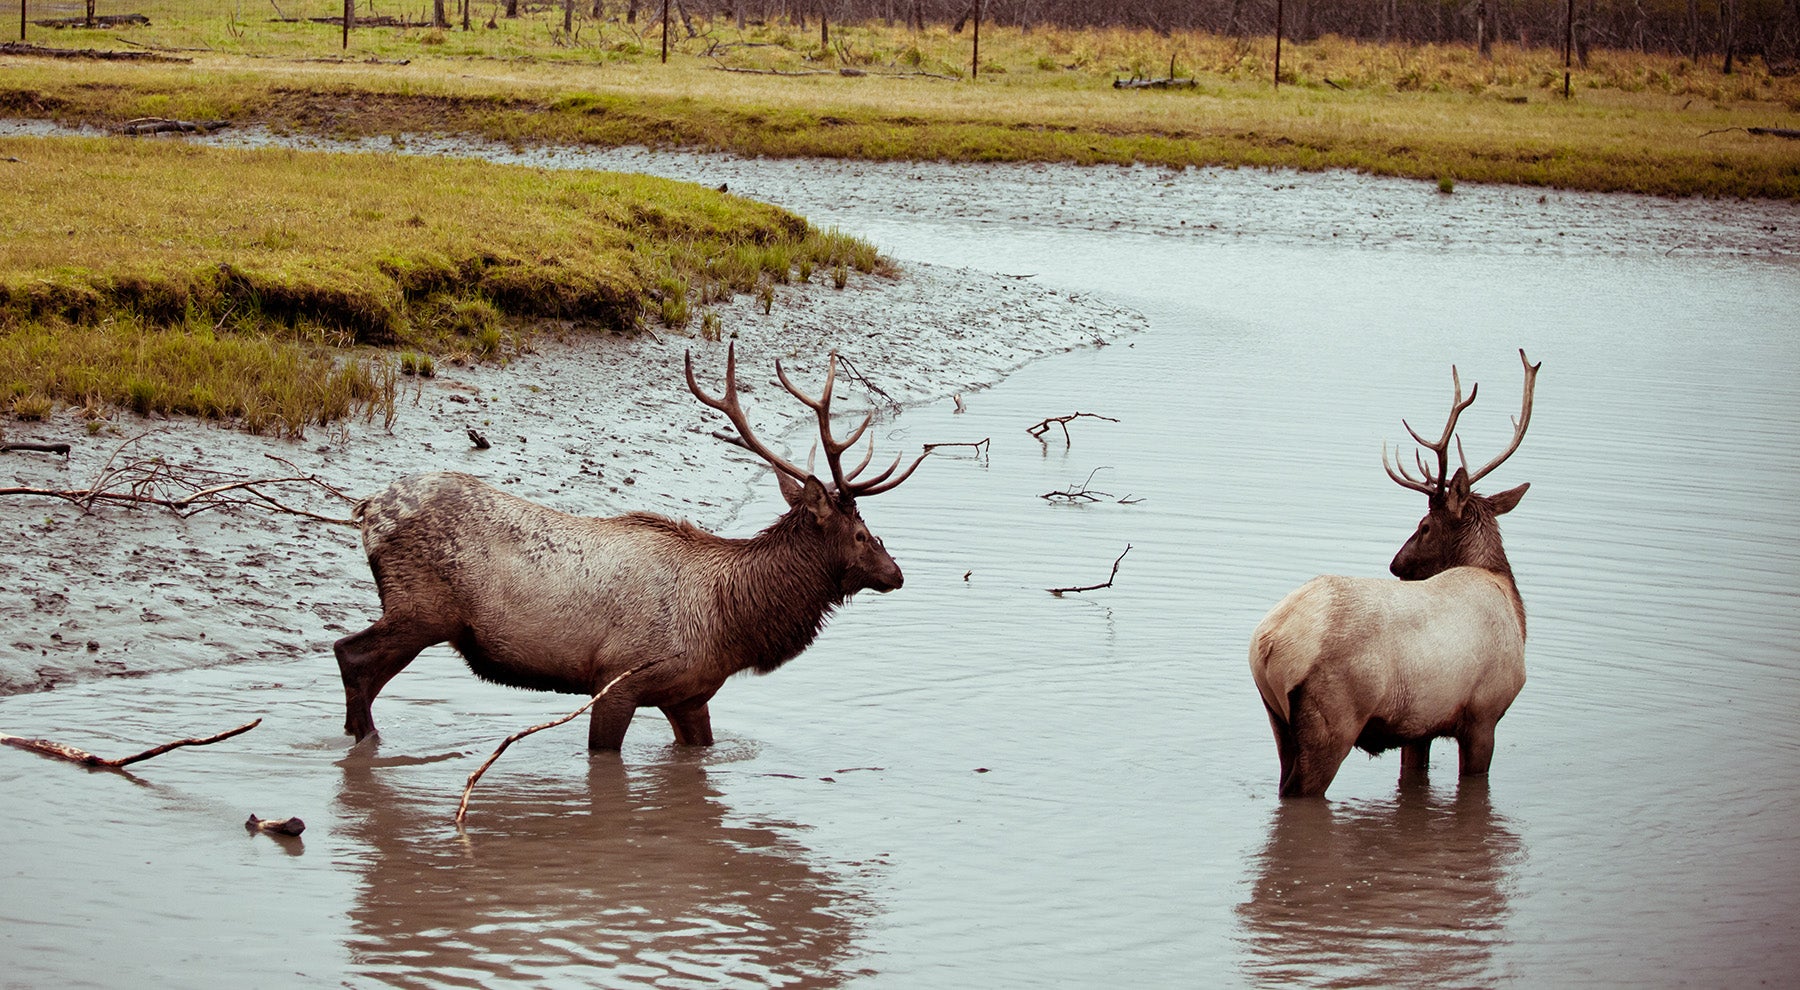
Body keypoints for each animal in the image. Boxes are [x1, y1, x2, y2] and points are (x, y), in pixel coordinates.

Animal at [334, 343, 928, 752]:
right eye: (860, 533)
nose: (897, 572)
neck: (727, 624)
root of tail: (367, 509)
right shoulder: (617, 678)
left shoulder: (689, 696)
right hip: (421, 610)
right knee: (349, 653)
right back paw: (366, 743)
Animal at [1245, 349, 1540, 799]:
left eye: (1424, 526)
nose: (1396, 565)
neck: (1508, 596)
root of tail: (1269, 643)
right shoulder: (1483, 715)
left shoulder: (1420, 728)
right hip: (1333, 719)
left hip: (1275, 717)